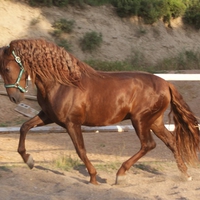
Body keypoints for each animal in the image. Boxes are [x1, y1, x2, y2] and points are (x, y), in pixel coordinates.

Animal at [0, 38, 199, 184]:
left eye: (7, 68)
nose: (14, 98)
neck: (62, 83)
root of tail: (166, 83)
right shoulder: (48, 116)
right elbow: (24, 127)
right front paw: (29, 160)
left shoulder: (72, 123)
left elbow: (80, 150)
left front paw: (93, 178)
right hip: (154, 121)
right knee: (171, 141)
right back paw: (186, 175)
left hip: (140, 120)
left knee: (148, 145)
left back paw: (120, 174)